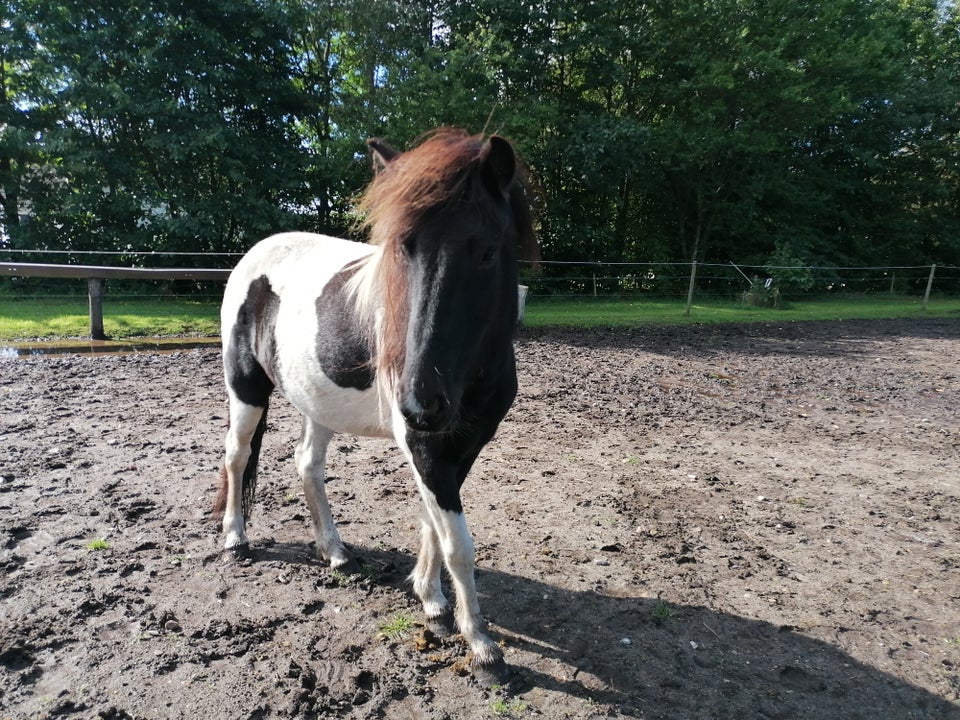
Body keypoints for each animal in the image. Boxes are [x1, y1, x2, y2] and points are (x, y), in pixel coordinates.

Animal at [213, 129, 536, 688]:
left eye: (487, 253)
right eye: (403, 249)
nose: (421, 402)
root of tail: (253, 256)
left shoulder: (461, 445)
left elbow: (433, 522)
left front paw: (432, 600)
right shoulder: (425, 446)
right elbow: (459, 543)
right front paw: (481, 643)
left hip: (317, 404)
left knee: (307, 465)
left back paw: (335, 551)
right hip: (246, 391)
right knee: (237, 455)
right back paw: (236, 539)